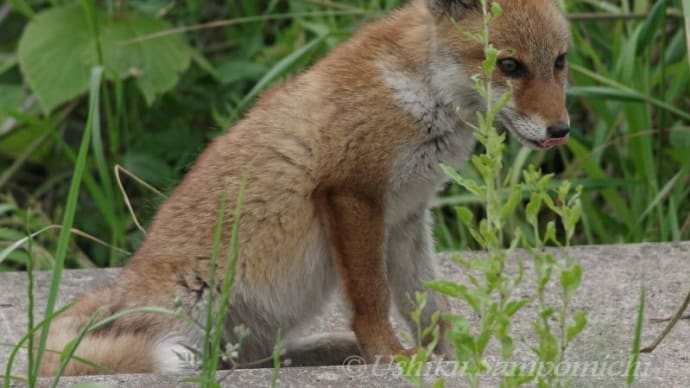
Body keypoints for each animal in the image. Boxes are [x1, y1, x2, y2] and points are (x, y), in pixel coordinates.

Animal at [36, 0, 568, 376]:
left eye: (560, 63)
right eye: (510, 66)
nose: (561, 130)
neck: (419, 93)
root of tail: (120, 293)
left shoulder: (407, 216)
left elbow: (430, 307)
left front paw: (454, 362)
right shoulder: (351, 193)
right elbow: (373, 298)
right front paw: (389, 356)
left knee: (246, 358)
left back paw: (327, 350)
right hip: (197, 308)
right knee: (211, 363)